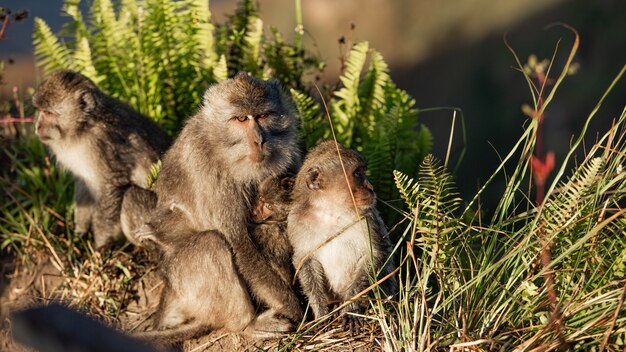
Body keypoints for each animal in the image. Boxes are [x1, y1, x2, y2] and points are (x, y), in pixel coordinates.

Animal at [31, 70, 171, 248]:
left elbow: (111, 186)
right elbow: (83, 185)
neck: (82, 128)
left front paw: (100, 245)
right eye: (41, 111)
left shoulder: (102, 145)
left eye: (48, 113)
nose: (38, 127)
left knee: (131, 196)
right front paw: (80, 233)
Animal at [146, 72, 302, 338]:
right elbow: (237, 241)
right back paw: (247, 325)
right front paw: (295, 309)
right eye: (241, 119)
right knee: (212, 244)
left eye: (263, 116)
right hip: (183, 279)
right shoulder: (210, 171)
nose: (259, 140)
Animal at [286, 140, 394, 332]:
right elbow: (305, 261)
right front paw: (321, 312)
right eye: (357, 173)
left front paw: (350, 309)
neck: (331, 210)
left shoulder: (366, 218)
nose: (370, 188)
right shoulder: (296, 222)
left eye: (362, 171)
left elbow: (373, 255)